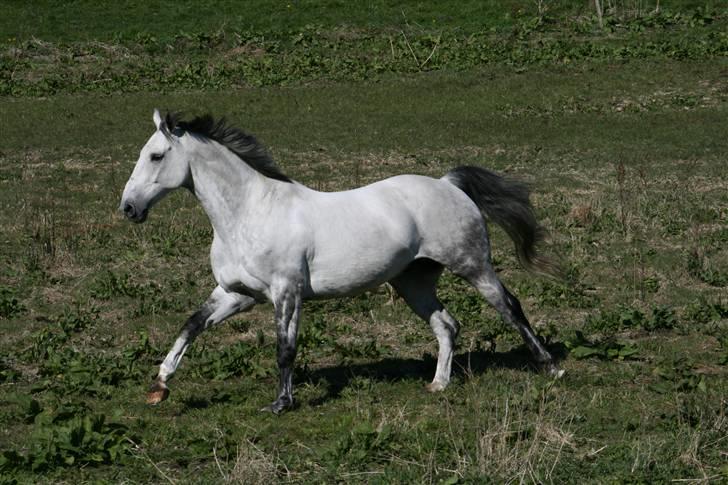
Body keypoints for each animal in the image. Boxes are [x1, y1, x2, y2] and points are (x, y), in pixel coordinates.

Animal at [119, 109, 564, 412]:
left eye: (156, 156)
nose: (128, 208)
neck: (250, 213)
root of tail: (447, 184)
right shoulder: (236, 293)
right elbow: (191, 325)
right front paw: (159, 386)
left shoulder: (286, 293)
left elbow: (285, 348)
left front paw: (281, 404)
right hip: (413, 281)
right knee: (447, 324)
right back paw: (439, 385)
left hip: (472, 264)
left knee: (510, 307)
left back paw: (550, 367)